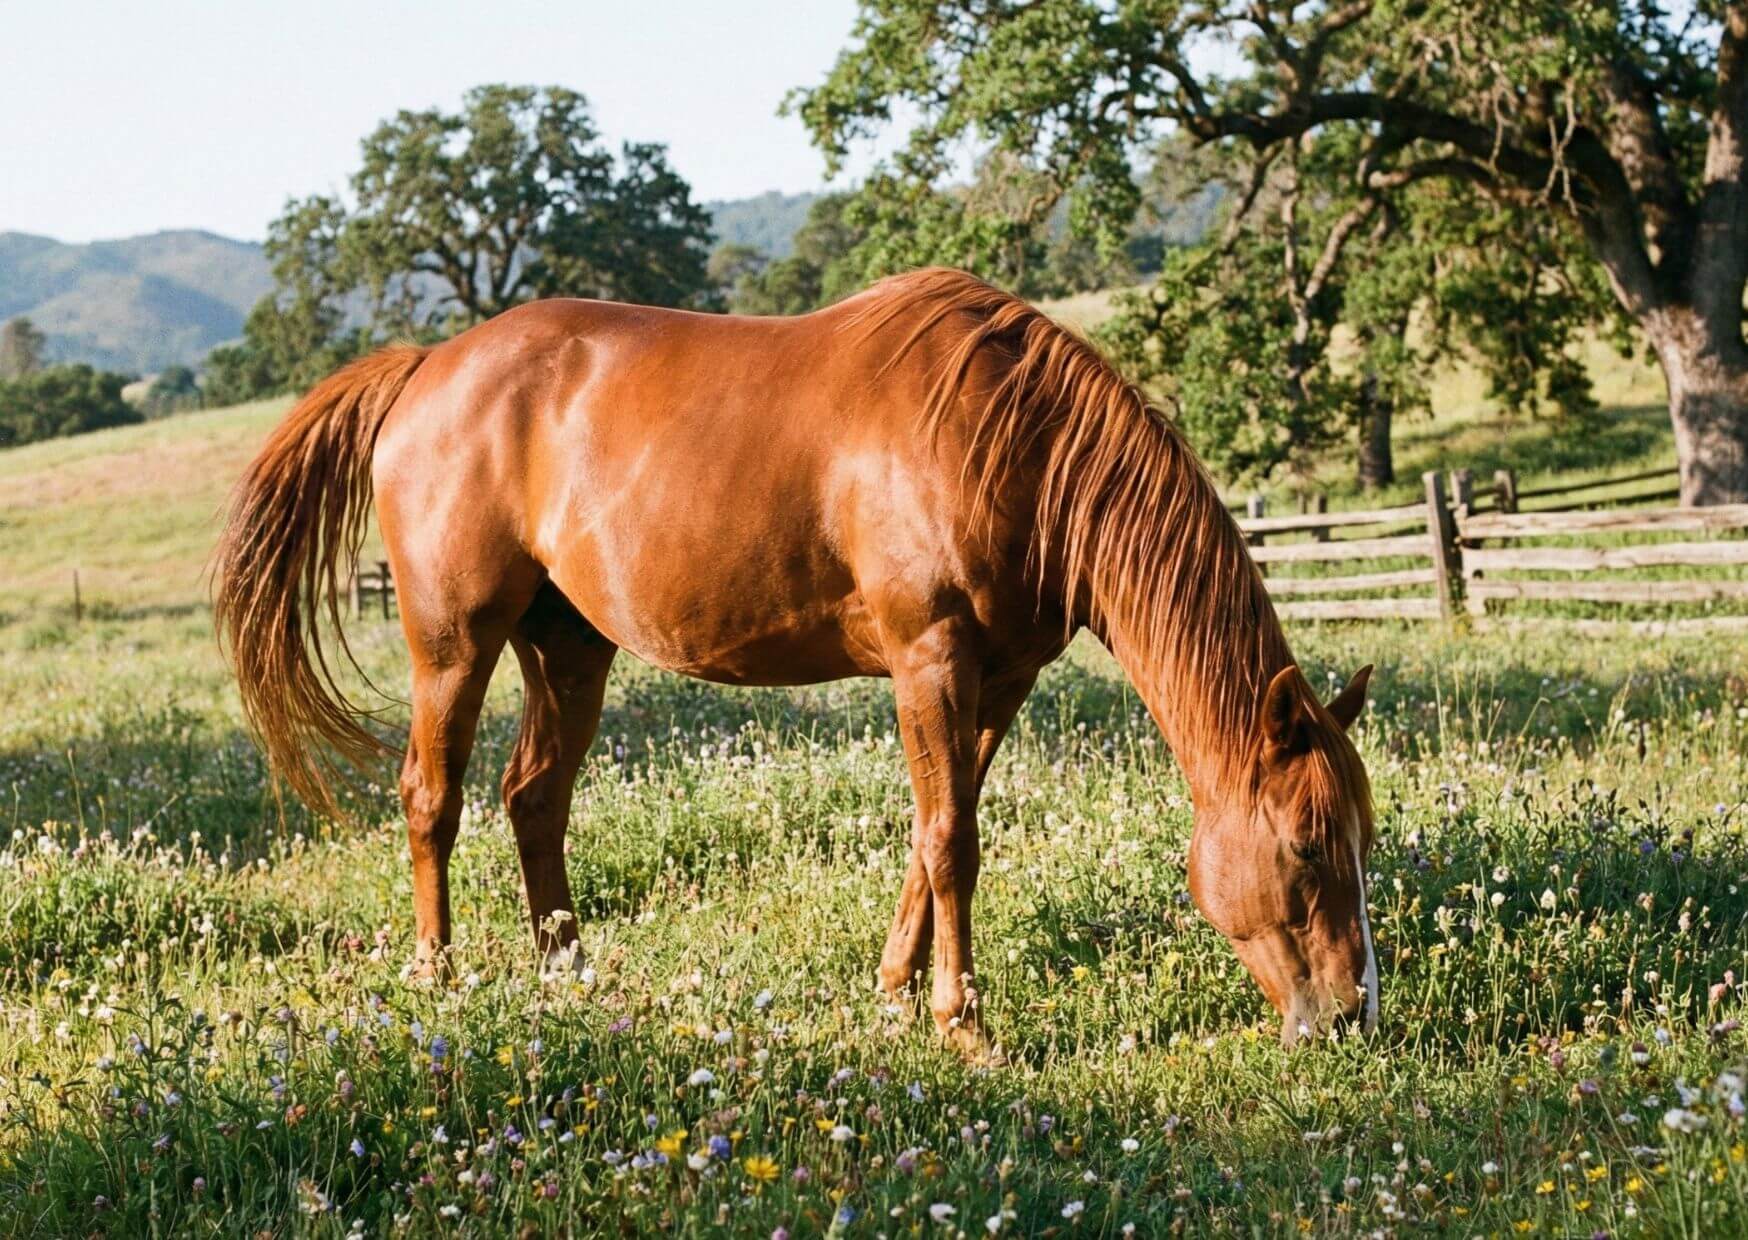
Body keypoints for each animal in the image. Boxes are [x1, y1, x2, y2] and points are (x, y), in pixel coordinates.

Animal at [214, 267, 1377, 1053]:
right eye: (1306, 848)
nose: (1350, 1015)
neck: (1019, 444)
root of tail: (426, 369)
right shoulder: (930, 659)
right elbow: (952, 842)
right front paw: (963, 1025)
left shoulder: (998, 679)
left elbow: (932, 834)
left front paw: (898, 993)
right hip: (454, 646)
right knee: (432, 797)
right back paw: (439, 977)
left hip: (567, 648)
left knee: (533, 798)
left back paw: (570, 976)